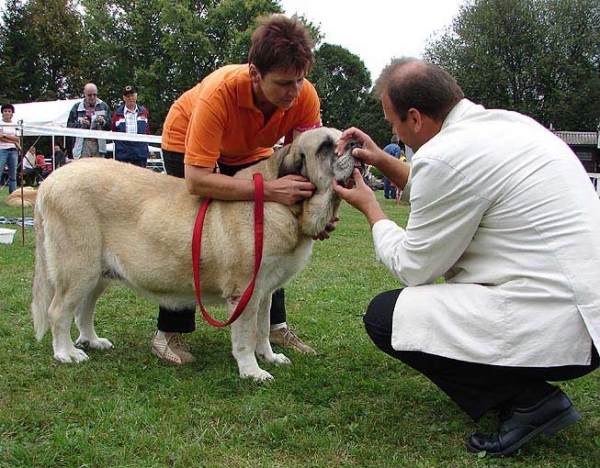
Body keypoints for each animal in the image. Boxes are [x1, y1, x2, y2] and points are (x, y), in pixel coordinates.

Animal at [32, 127, 358, 380]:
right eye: (326, 146)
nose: (357, 143)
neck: (285, 207)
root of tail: (49, 182)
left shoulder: (265, 291)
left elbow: (263, 329)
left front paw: (270, 356)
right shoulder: (245, 293)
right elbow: (246, 335)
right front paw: (252, 371)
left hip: (97, 274)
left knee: (83, 310)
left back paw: (92, 340)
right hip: (79, 269)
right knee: (58, 311)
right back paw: (66, 353)